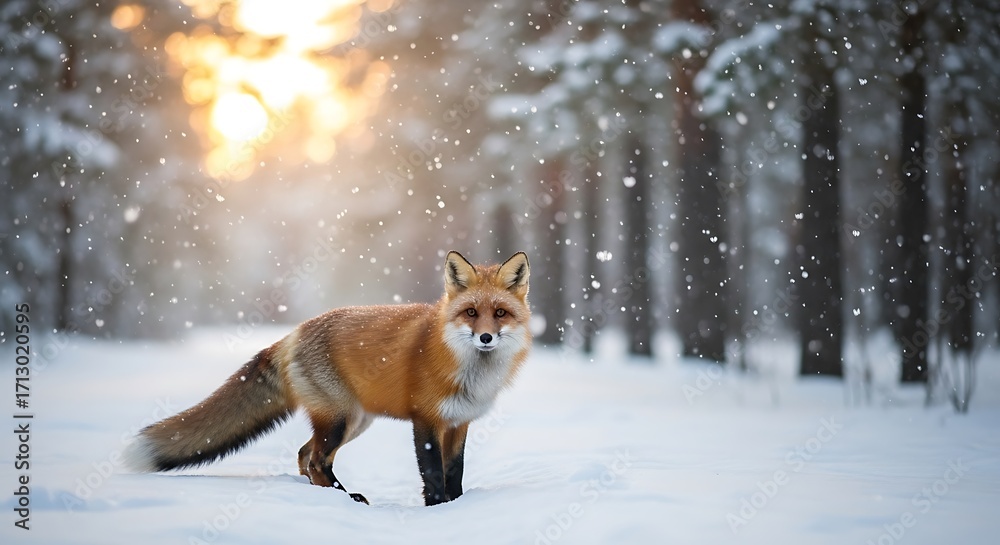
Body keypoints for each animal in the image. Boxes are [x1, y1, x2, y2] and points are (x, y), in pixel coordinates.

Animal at [124, 251, 531, 506]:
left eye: (499, 313)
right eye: (471, 312)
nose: (486, 337)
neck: (469, 372)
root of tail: (293, 333)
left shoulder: (459, 423)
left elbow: (455, 472)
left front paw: (457, 506)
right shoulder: (426, 420)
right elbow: (432, 475)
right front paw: (437, 511)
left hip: (355, 421)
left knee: (305, 455)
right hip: (340, 418)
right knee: (317, 459)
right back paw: (346, 498)